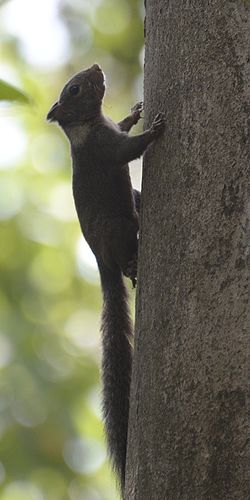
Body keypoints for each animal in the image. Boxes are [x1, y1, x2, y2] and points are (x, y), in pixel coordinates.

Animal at [47, 63, 164, 496]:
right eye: (75, 89)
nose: (96, 67)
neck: (90, 124)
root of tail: (102, 263)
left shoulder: (109, 129)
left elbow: (124, 128)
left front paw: (135, 113)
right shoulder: (105, 149)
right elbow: (129, 151)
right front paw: (154, 129)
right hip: (118, 231)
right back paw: (132, 266)